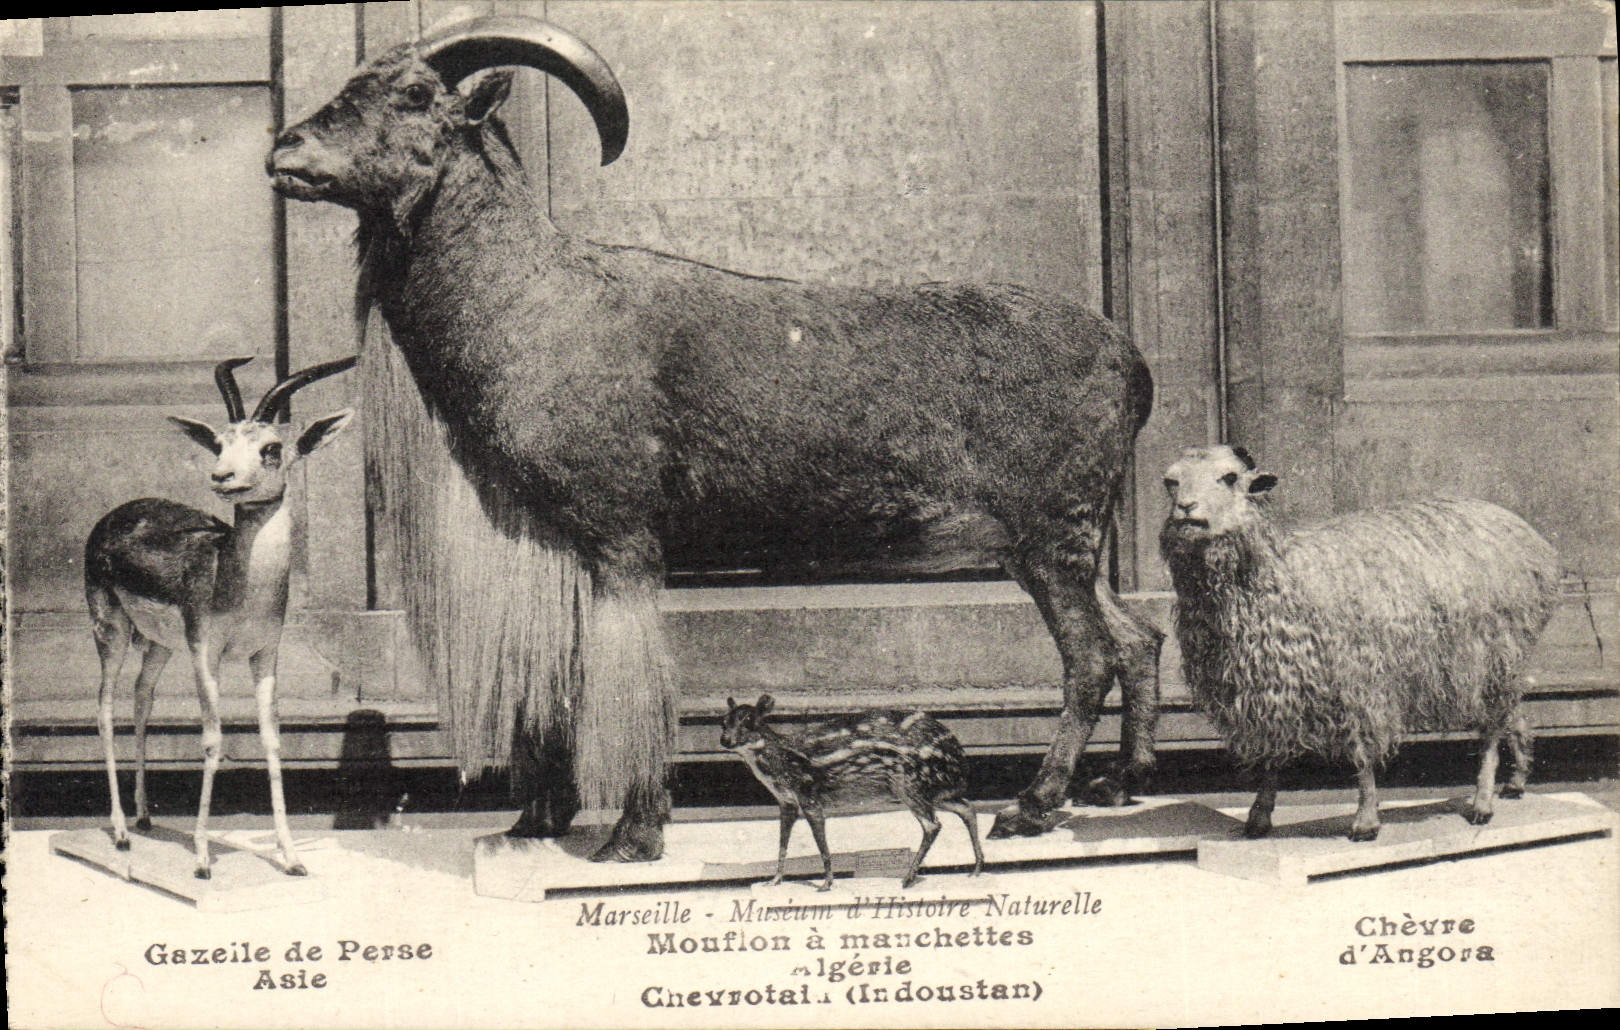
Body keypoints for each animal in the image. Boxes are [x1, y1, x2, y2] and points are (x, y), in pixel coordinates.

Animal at [86, 356, 356, 879]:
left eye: (272, 448)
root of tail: (116, 514)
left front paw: (291, 857)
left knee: (142, 700)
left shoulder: (264, 655)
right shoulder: (204, 653)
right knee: (106, 710)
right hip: (111, 631)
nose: (222, 477)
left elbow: (272, 741)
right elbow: (213, 741)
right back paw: (122, 832)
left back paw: (145, 816)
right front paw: (203, 858)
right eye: (219, 444)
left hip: (158, 643)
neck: (239, 585)